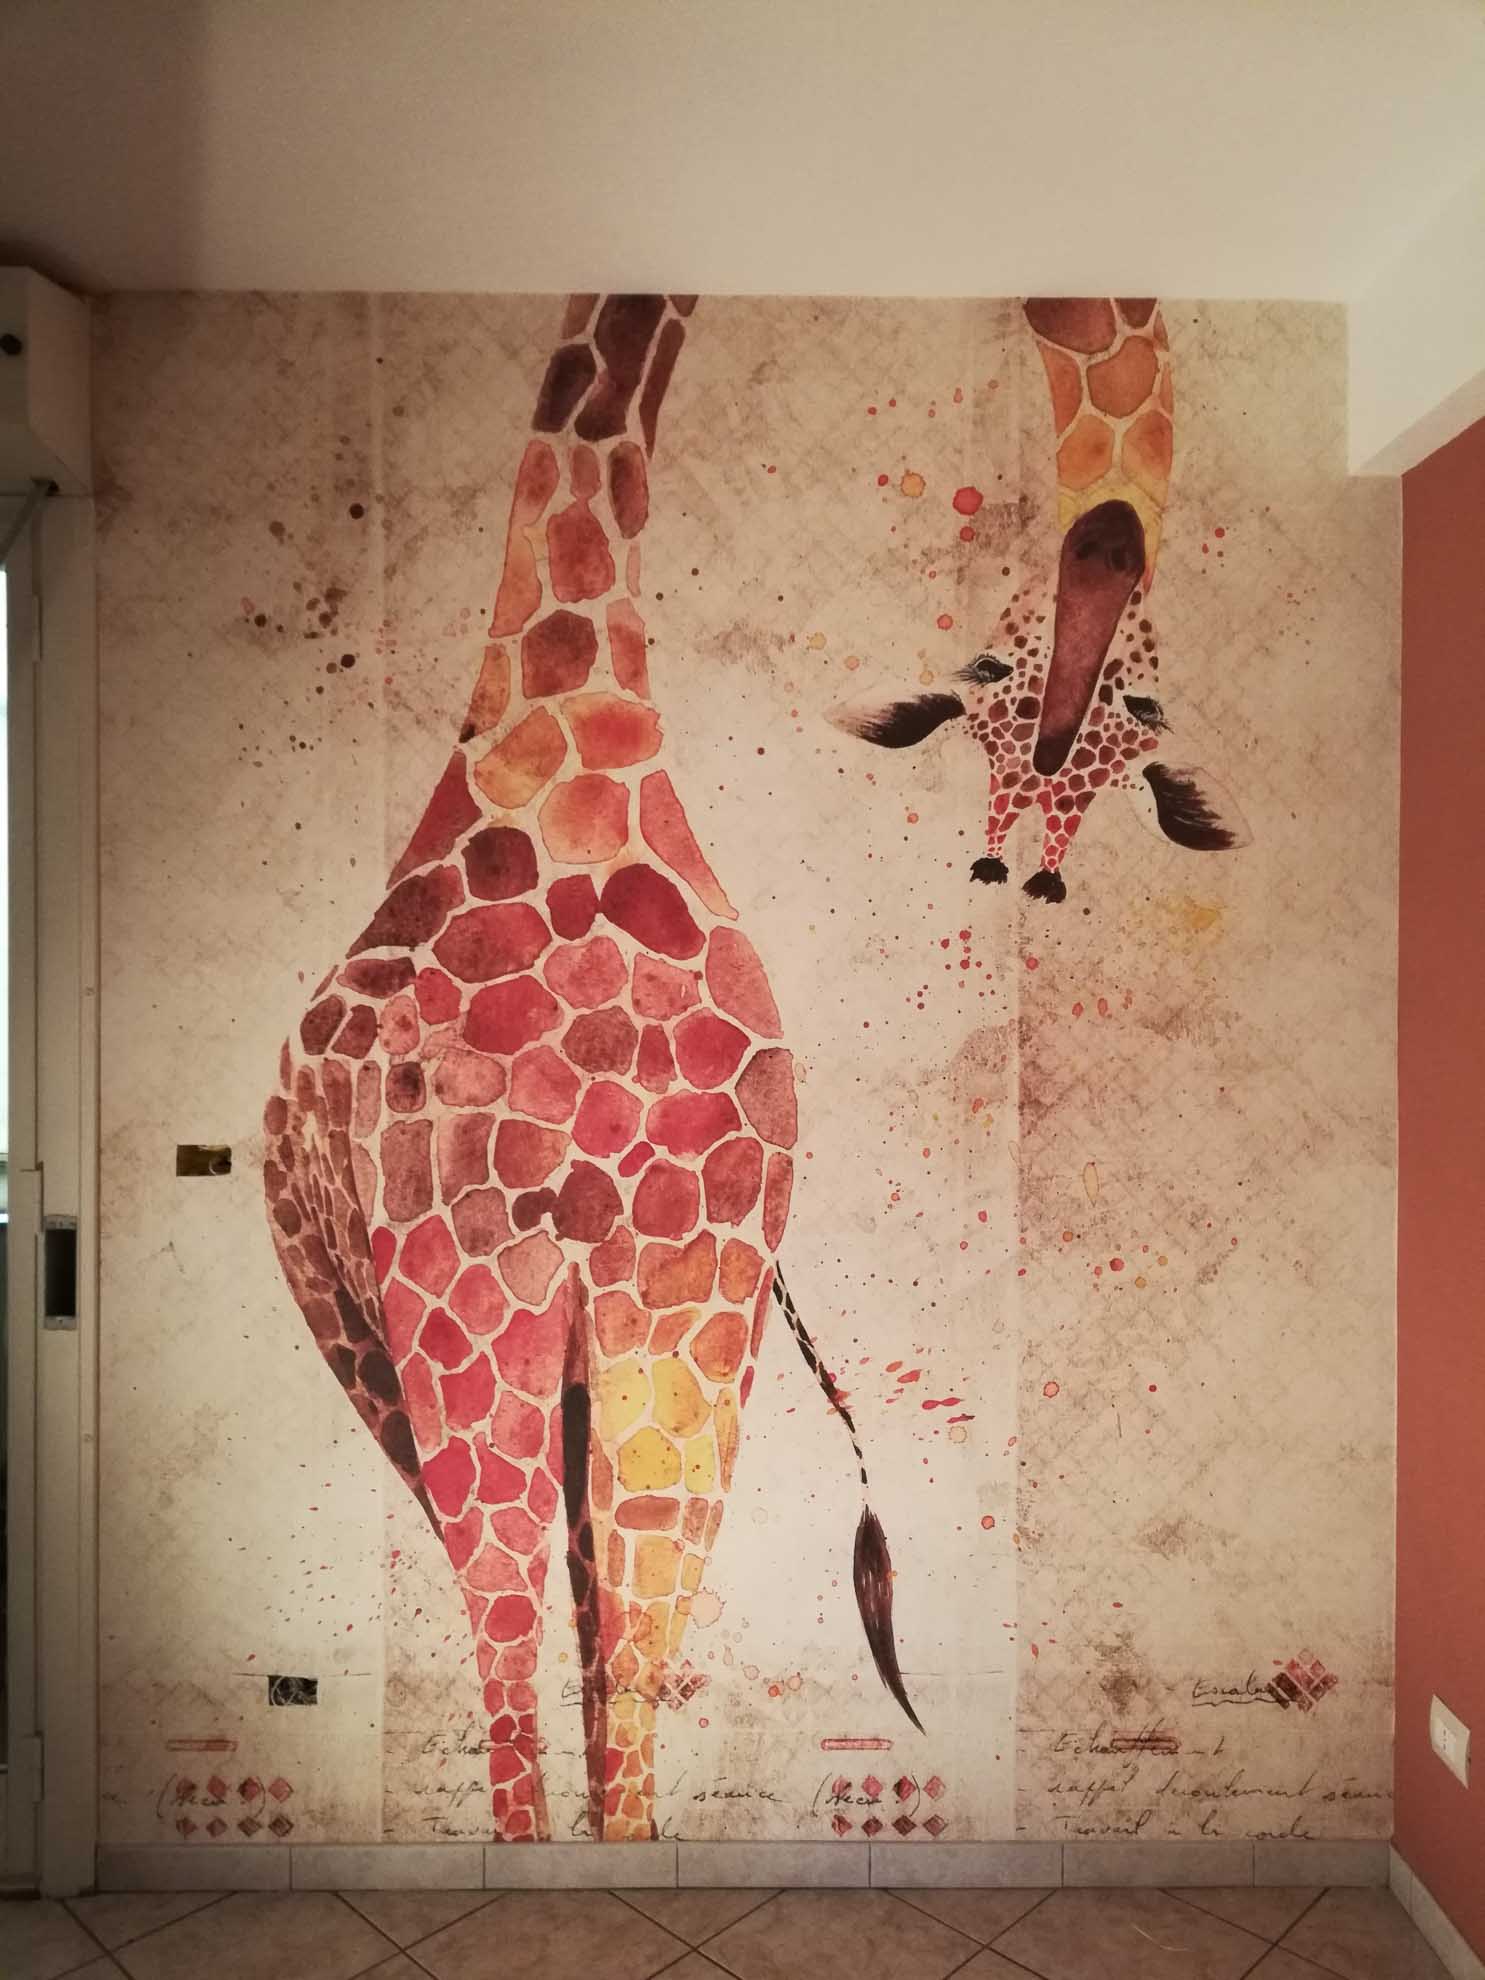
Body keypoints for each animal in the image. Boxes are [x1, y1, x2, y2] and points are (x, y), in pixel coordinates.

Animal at [263, 294, 914, 1849]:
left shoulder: (672, 1296)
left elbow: (618, 1665)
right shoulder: (505, 1288)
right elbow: (564, 1657)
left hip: (504, 1351)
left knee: (578, 1649)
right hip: (422, 1339)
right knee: (522, 1643)